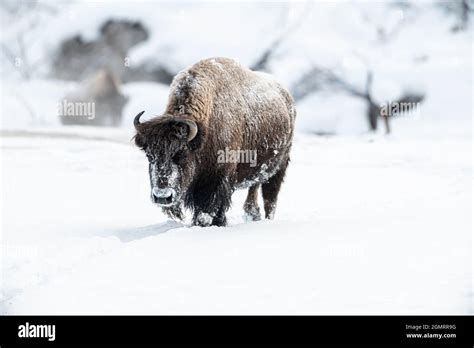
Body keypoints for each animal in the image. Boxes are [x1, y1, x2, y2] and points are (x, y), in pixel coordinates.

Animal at [134, 57, 296, 226]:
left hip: (279, 167)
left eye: (182, 155)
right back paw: (253, 215)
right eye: (149, 156)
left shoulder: (218, 180)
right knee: (254, 190)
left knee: (270, 199)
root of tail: (287, 98)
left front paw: (212, 222)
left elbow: (209, 208)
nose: (162, 196)